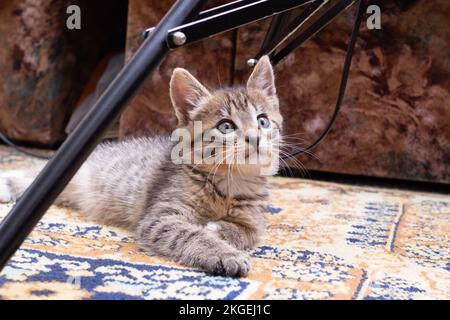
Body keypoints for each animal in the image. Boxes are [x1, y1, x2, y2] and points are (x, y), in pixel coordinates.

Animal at [0, 56, 282, 276]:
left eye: (263, 121)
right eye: (226, 126)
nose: (255, 137)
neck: (229, 182)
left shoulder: (254, 217)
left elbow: (249, 232)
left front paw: (220, 230)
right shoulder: (160, 217)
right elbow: (191, 234)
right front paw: (225, 254)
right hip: (71, 174)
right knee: (33, 176)